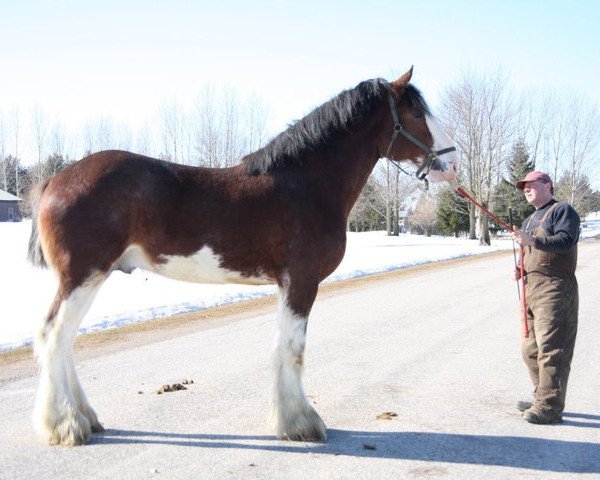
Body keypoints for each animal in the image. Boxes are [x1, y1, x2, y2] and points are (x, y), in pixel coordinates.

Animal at [28, 68, 458, 446]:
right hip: (82, 276)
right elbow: (292, 351)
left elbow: (283, 349)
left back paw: (85, 418)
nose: (452, 163)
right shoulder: (301, 282)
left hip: (90, 277)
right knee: (53, 336)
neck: (307, 184)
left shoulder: (288, 285)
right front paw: (300, 424)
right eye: (415, 112)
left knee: (63, 341)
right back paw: (66, 426)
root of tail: (56, 180)